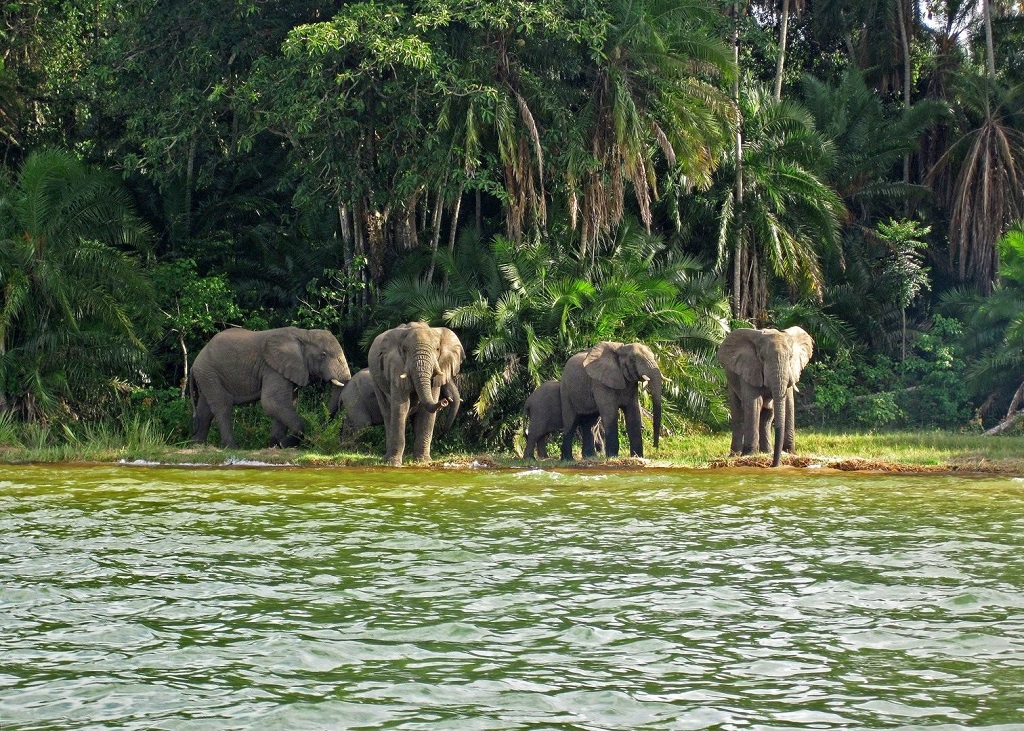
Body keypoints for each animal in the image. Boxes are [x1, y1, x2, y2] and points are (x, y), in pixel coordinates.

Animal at [190, 327, 354, 446]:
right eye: (323, 355)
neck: (303, 334)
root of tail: (194, 364)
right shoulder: (272, 367)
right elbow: (272, 402)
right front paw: (283, 443)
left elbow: (287, 403)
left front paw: (275, 444)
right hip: (209, 372)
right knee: (223, 405)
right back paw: (231, 447)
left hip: (206, 375)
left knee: (205, 409)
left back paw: (198, 445)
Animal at [327, 370, 460, 438]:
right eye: (444, 383)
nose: (445, 401)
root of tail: (343, 392)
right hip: (354, 398)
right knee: (362, 423)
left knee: (348, 423)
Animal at [368, 319, 464, 466]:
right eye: (404, 350)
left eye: (437, 349)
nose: (444, 401)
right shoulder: (395, 367)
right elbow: (401, 407)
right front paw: (394, 464)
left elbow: (426, 411)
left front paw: (423, 461)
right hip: (375, 379)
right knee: (388, 413)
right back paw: (386, 459)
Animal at [716, 325, 811, 464]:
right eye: (762, 358)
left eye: (790, 357)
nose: (773, 465)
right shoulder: (749, 368)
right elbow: (754, 404)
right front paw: (749, 454)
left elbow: (788, 402)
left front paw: (790, 453)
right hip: (731, 380)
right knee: (738, 413)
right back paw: (735, 455)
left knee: (767, 414)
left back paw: (766, 452)